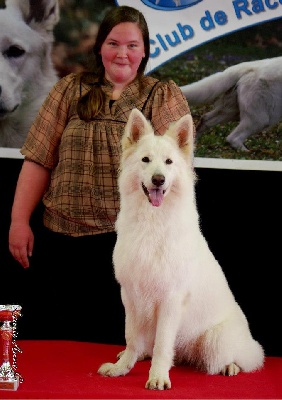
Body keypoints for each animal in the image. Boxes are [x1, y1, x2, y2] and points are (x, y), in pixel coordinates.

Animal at [97, 108, 264, 390]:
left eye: (169, 162)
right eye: (145, 160)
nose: (158, 179)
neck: (152, 223)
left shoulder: (169, 300)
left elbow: (163, 345)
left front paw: (158, 377)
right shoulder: (130, 297)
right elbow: (131, 337)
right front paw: (123, 368)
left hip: (216, 340)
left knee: (246, 358)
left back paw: (230, 366)